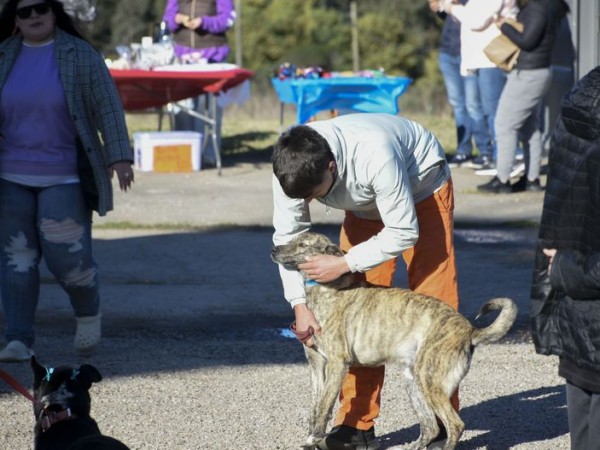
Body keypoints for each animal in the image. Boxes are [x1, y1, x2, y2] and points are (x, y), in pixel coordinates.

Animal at [270, 234, 516, 448]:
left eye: (303, 245)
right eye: (292, 239)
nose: (273, 249)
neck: (323, 290)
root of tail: (469, 329)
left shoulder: (338, 364)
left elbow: (323, 407)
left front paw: (316, 437)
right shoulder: (316, 366)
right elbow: (314, 409)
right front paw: (310, 438)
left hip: (430, 382)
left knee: (454, 425)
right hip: (415, 382)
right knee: (430, 427)